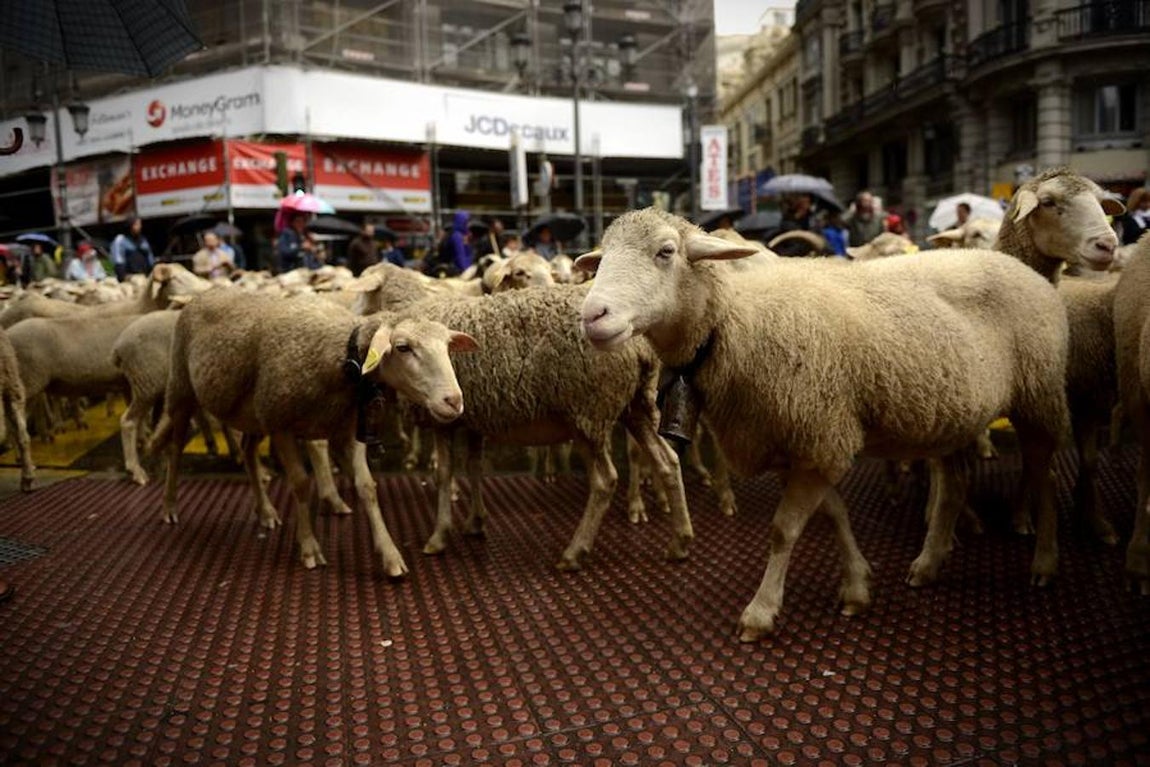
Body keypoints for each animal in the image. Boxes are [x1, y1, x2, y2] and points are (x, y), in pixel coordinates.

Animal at [148, 289, 476, 576]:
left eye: (447, 347)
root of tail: (201, 294)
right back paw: (169, 506)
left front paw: (390, 555)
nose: (454, 400)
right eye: (404, 347)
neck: (344, 360)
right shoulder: (281, 425)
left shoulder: (349, 427)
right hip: (183, 388)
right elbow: (301, 483)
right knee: (175, 447)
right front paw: (309, 548)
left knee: (248, 450)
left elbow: (367, 487)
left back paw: (265, 512)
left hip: (256, 411)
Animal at [397, 284, 695, 571]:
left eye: (403, 347)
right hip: (638, 404)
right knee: (668, 461)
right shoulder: (474, 419)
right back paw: (680, 542)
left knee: (605, 480)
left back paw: (574, 553)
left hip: (589, 410)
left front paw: (438, 536)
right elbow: (474, 467)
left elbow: (444, 474)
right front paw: (475, 522)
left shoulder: (443, 419)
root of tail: (641, 347)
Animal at [577, 208, 1071, 641]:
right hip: (953, 415)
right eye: (603, 257)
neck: (735, 323)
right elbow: (834, 514)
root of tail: (1023, 269)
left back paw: (1045, 563)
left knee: (1043, 474)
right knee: (954, 485)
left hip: (1039, 393)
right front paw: (857, 586)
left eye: (666, 251)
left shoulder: (821, 437)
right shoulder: (802, 444)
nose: (591, 315)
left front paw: (761, 612)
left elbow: (784, 529)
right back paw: (928, 564)